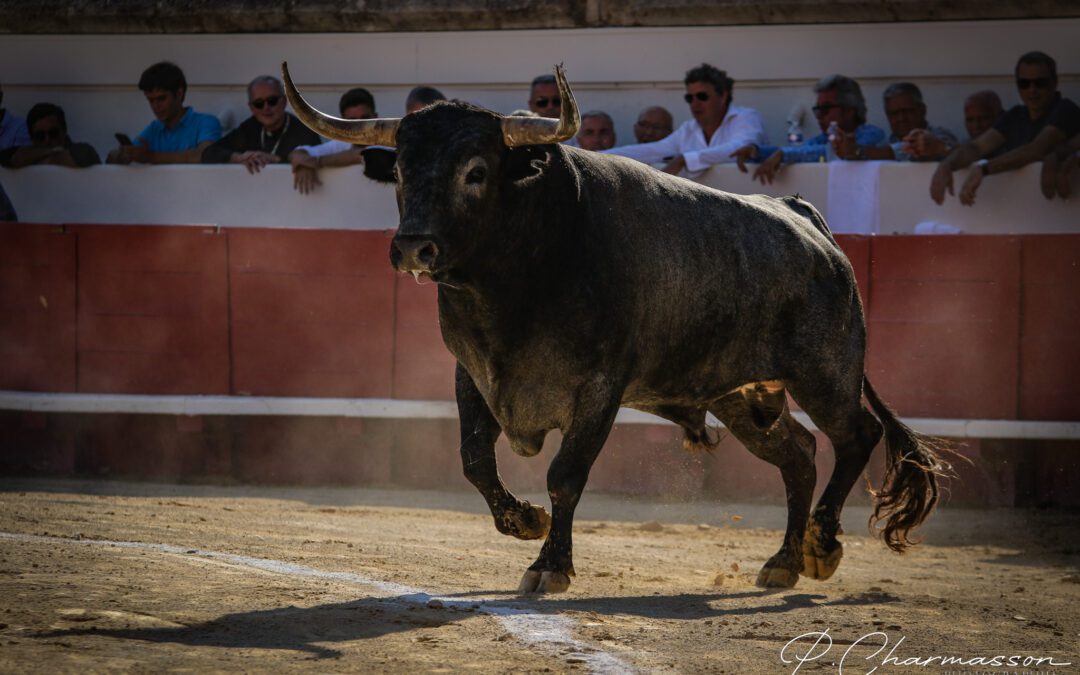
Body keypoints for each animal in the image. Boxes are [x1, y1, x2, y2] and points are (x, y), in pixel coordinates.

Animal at [287, 61, 954, 587]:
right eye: (400, 171)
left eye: (475, 171)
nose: (413, 249)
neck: (519, 277)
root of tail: (811, 222)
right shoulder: (471, 372)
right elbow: (474, 458)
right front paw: (523, 522)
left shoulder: (599, 388)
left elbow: (566, 475)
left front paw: (549, 567)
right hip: (742, 399)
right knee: (800, 454)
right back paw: (783, 562)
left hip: (825, 373)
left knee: (855, 436)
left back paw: (821, 545)